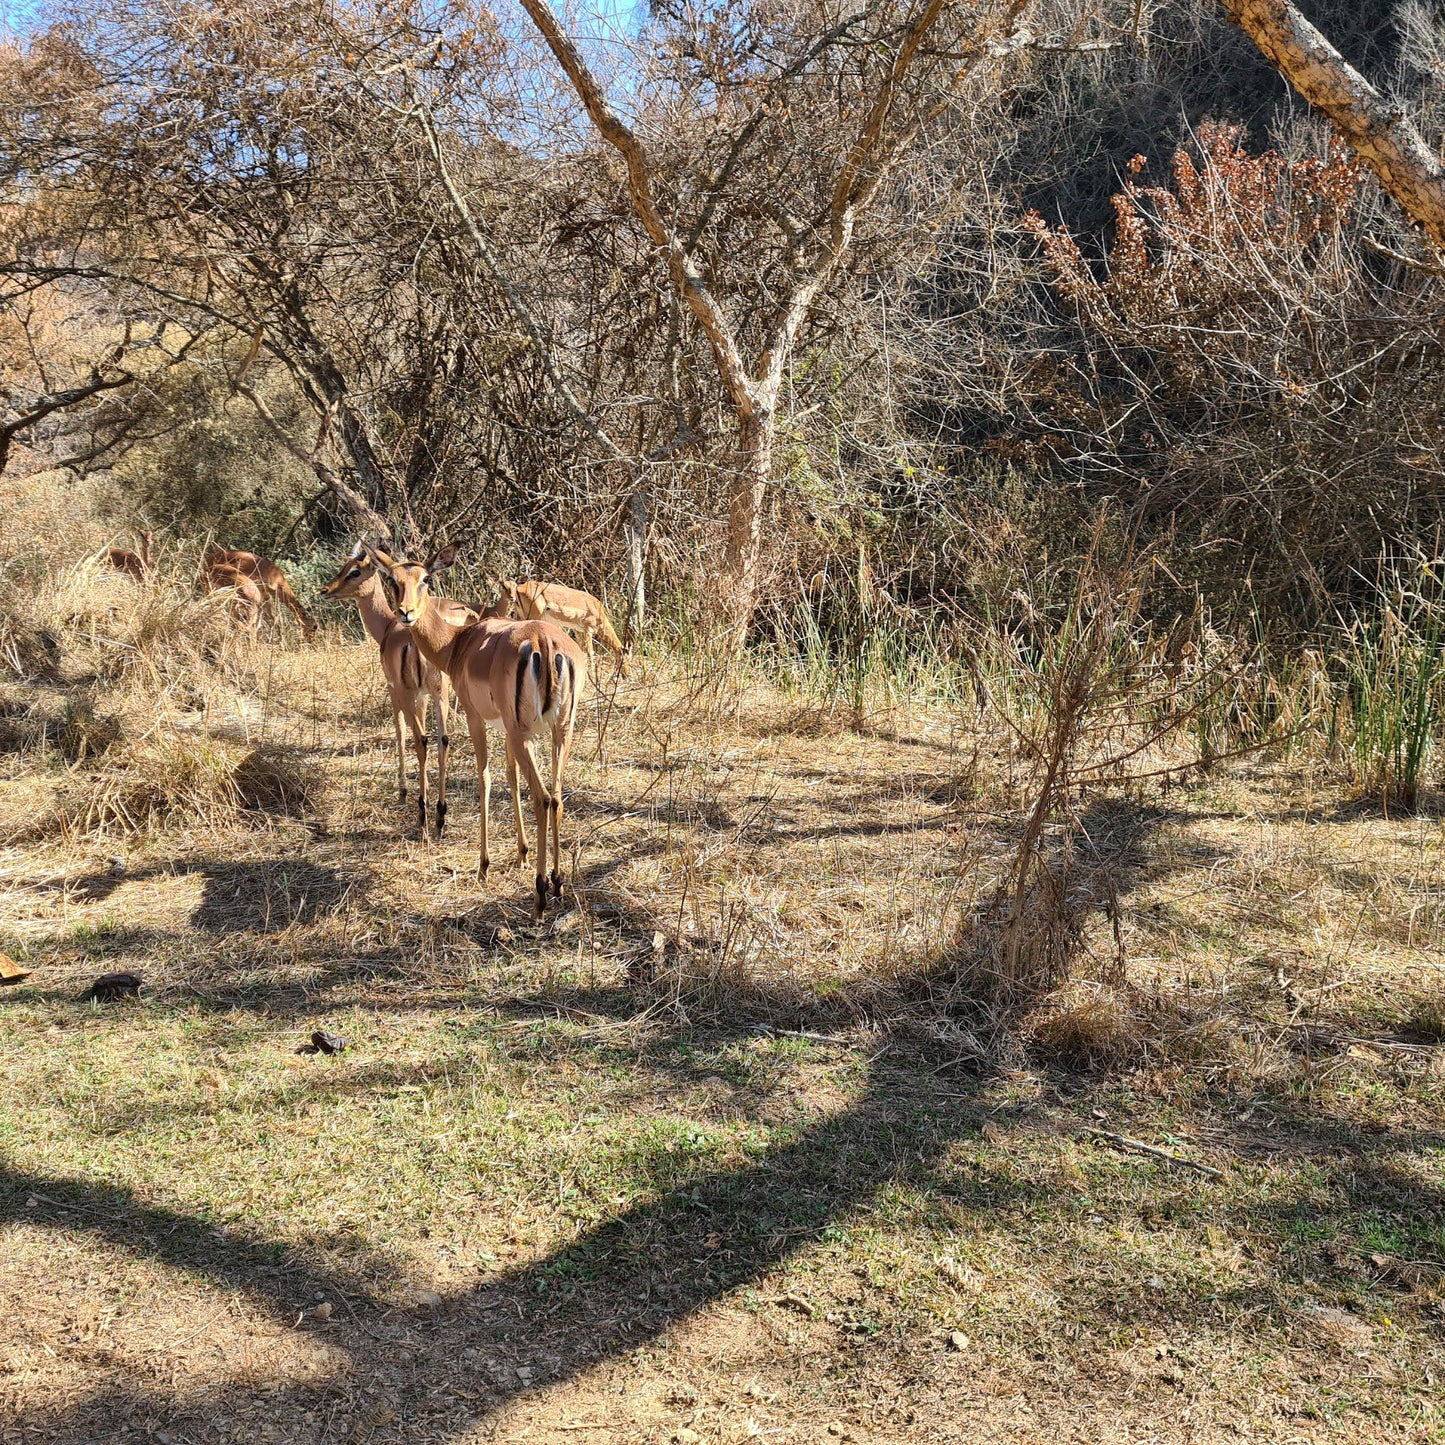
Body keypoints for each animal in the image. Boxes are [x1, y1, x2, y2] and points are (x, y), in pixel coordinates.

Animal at [322, 543, 468, 838]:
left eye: (355, 571)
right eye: (393, 579)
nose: (326, 590)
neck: (388, 627)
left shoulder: (394, 690)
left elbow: (399, 732)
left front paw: (403, 792)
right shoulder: (424, 695)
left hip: (407, 693)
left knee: (420, 739)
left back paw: (422, 815)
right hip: (441, 694)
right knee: (443, 740)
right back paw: (440, 817)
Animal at [369, 543, 589, 913]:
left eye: (425, 578)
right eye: (393, 580)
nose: (406, 613)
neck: (459, 644)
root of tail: (544, 643)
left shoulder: (477, 718)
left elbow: (484, 779)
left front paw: (483, 866)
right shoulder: (509, 731)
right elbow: (510, 779)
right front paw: (521, 853)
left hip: (523, 732)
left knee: (542, 797)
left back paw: (541, 892)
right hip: (560, 731)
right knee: (556, 797)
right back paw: (558, 882)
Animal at [497, 578, 627, 673]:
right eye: (626, 658)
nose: (626, 674)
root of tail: (520, 588)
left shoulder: (578, 631)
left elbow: (581, 651)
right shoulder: (588, 630)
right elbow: (591, 653)